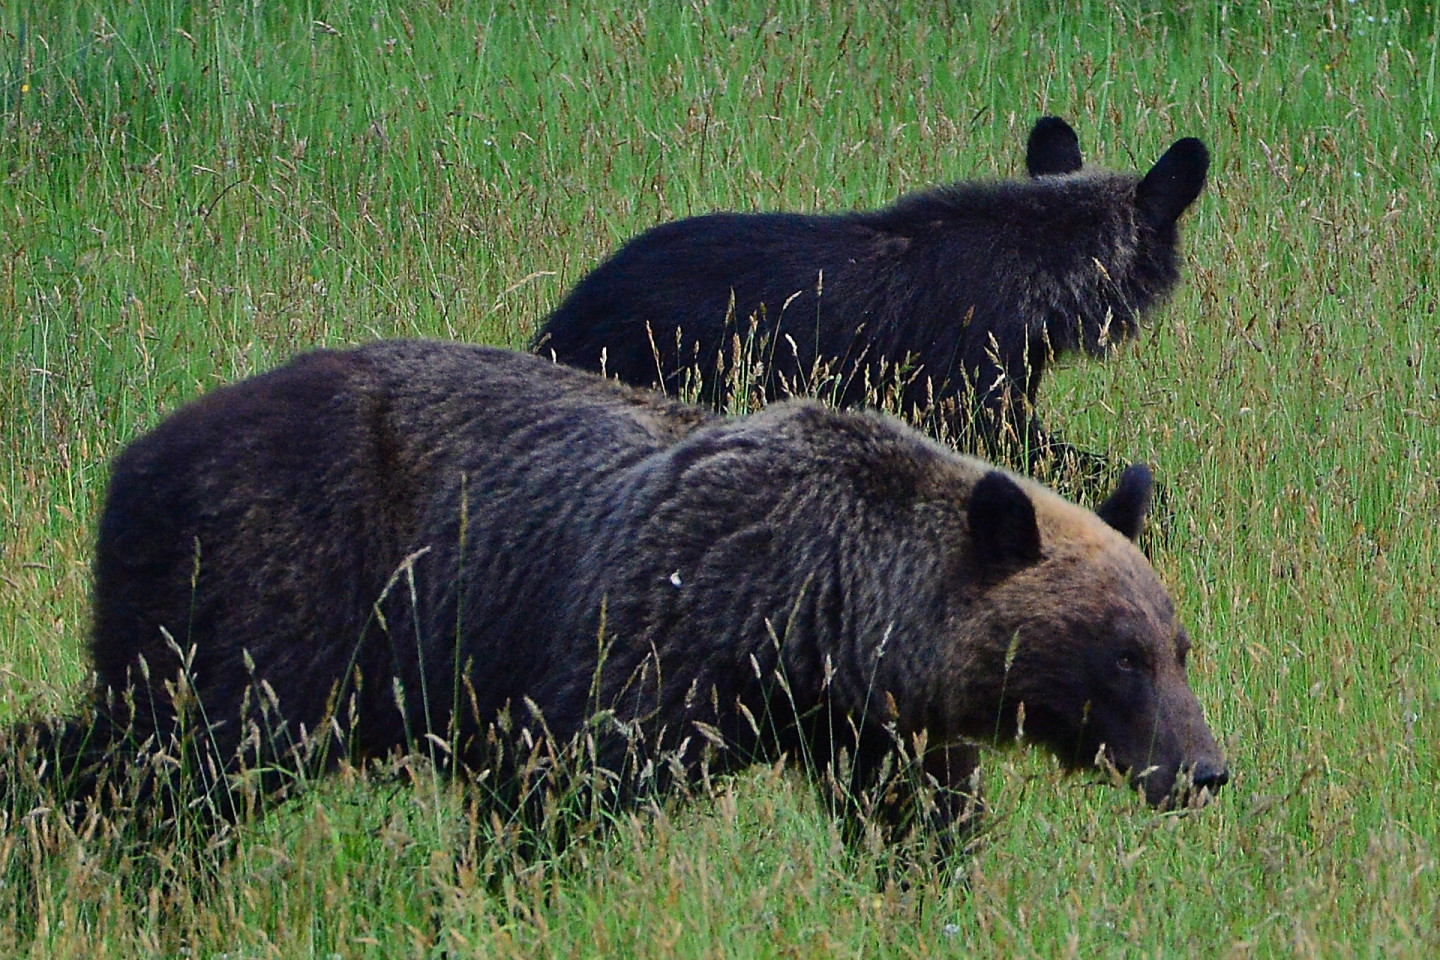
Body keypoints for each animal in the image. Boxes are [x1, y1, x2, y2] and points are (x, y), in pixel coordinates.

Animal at [8, 341, 1226, 852]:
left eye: (1177, 645)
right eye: (1120, 652)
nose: (1204, 769)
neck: (813, 610)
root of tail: (135, 457)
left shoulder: (865, 724)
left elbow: (918, 814)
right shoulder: (646, 643)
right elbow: (555, 790)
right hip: (277, 586)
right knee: (190, 764)